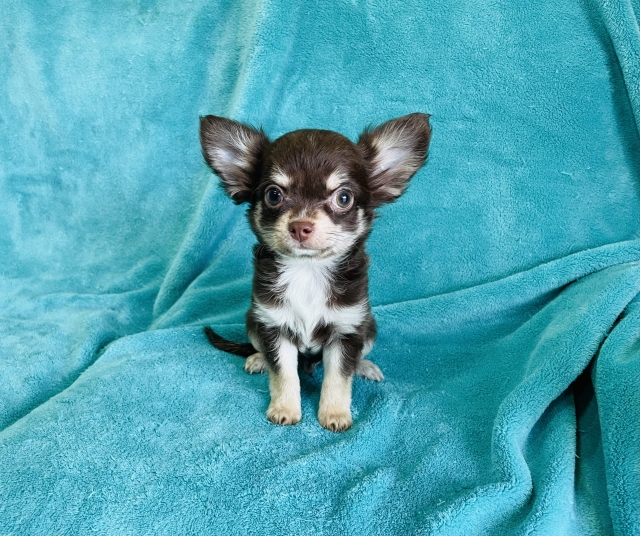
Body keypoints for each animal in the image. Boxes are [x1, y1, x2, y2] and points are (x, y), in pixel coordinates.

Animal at [200, 113, 430, 432]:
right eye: (274, 195)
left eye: (343, 198)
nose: (300, 226)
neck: (308, 271)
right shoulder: (273, 327)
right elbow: (284, 374)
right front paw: (284, 408)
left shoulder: (347, 330)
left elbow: (338, 377)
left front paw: (334, 413)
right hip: (253, 322)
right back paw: (258, 359)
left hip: (369, 328)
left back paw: (364, 366)